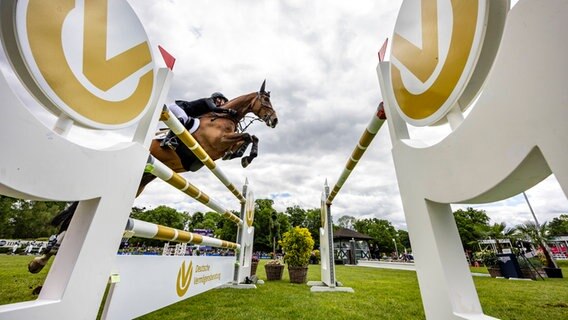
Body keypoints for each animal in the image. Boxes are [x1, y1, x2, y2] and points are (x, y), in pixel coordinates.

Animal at [27, 80, 280, 272]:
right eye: (266, 101)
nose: (275, 120)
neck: (224, 116)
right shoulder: (213, 144)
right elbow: (247, 135)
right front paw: (246, 156)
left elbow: (249, 138)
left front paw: (243, 155)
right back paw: (41, 259)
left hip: (142, 182)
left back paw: (41, 262)